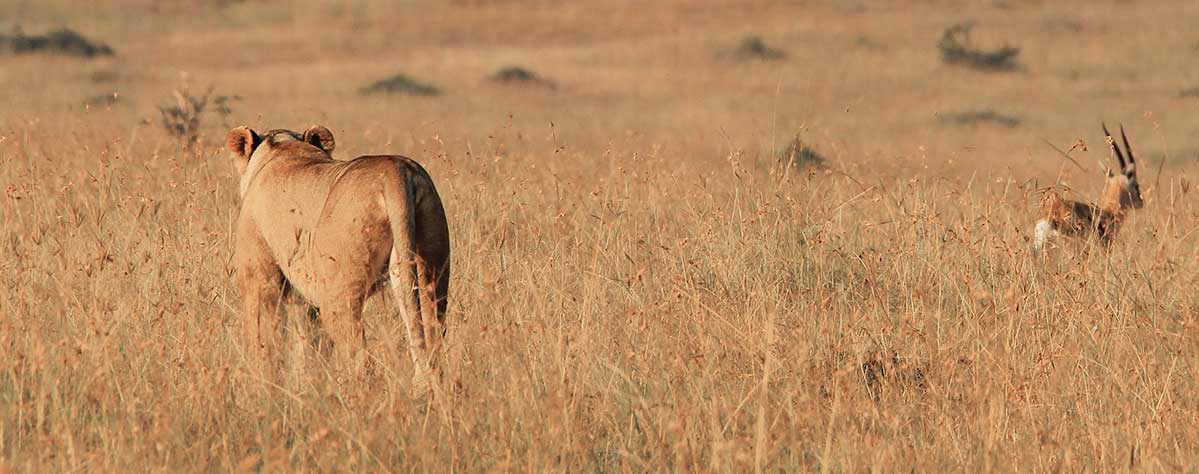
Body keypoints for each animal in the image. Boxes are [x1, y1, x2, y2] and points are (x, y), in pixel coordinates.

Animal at [223, 125, 450, 392]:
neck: (283, 148)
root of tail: (395, 171)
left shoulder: (260, 277)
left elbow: (262, 336)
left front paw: (262, 386)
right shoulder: (306, 300)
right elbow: (308, 345)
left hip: (339, 293)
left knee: (359, 356)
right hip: (429, 268)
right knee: (430, 331)